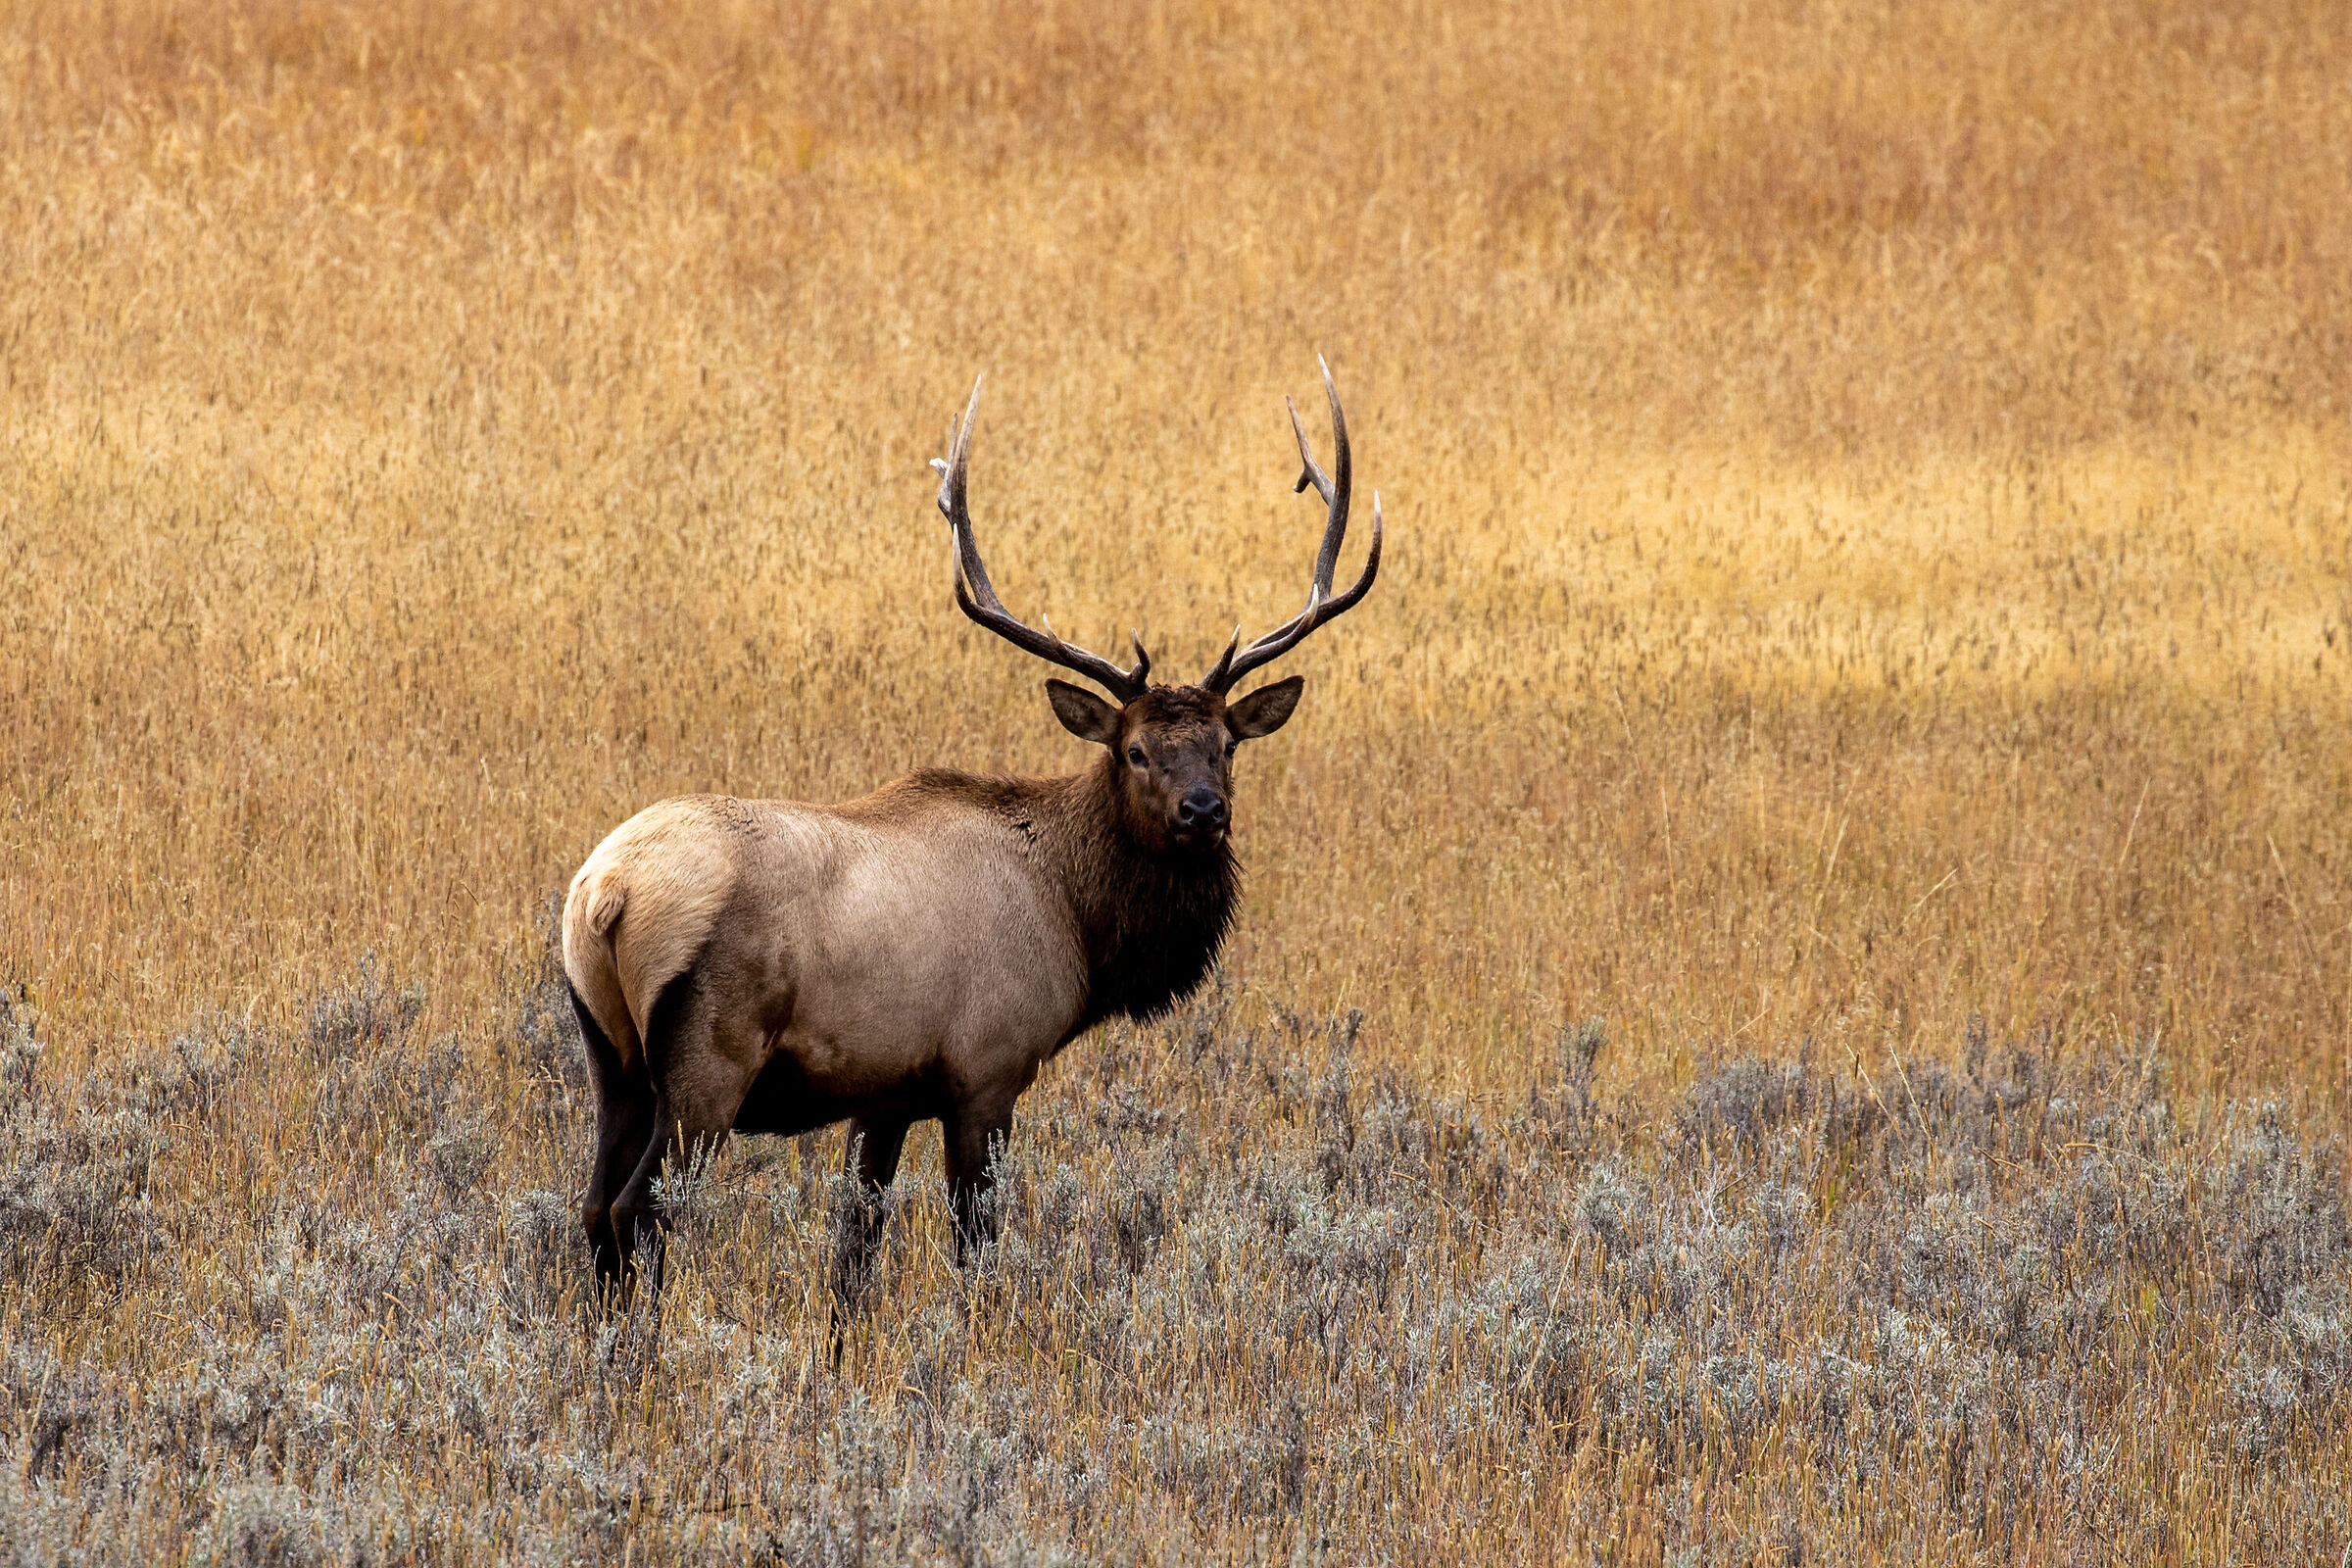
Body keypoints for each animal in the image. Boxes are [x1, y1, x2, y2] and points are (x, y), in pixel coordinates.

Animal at [560, 362, 1381, 1299]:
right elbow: (975, 1248)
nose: (1203, 812)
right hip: (708, 1060)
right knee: (638, 1213)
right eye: (1135, 750)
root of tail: (607, 895)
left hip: (610, 1059)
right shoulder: (988, 1070)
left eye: (1227, 745)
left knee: (592, 1208)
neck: (1079, 924)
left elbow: (855, 1248)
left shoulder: (882, 1092)